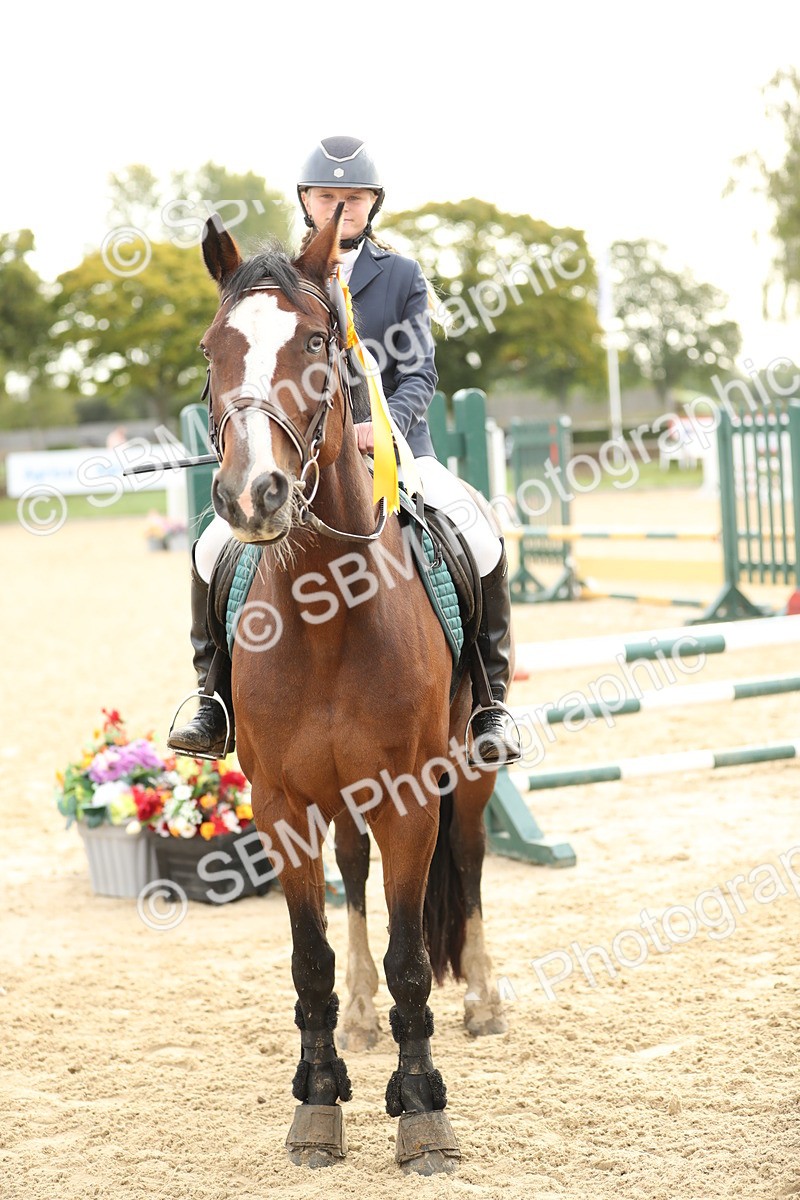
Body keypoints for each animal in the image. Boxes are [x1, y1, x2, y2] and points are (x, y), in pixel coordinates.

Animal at [199, 207, 507, 1176]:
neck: (326, 611)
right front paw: (318, 1099)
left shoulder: (411, 796)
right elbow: (311, 958)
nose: (253, 494)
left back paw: (482, 1000)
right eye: (214, 347)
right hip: (340, 797)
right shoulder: (281, 803)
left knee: (470, 861)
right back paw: (366, 1019)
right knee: (356, 872)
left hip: (470, 770)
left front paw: (422, 1111)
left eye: (314, 342)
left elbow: (414, 954)